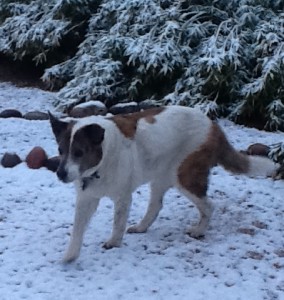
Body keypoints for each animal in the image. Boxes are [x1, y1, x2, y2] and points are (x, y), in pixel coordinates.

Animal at [48, 106, 278, 262]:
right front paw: (70, 256)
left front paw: (114, 242)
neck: (102, 159)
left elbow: (117, 224)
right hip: (160, 176)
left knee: (208, 205)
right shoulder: (86, 198)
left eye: (79, 152)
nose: (60, 174)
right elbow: (77, 229)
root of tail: (213, 125)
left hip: (185, 176)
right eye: (61, 150)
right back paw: (142, 227)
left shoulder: (122, 197)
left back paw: (199, 230)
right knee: (156, 206)